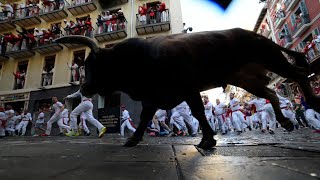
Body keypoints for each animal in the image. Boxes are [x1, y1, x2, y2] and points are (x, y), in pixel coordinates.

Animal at [55, 28, 320, 149]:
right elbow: (144, 119)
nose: (85, 86)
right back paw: (285, 122)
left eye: (93, 64)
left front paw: (207, 140)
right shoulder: (153, 98)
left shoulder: (188, 89)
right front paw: (133, 139)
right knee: (272, 92)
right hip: (247, 79)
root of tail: (252, 34)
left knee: (299, 75)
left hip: (272, 59)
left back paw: (312, 104)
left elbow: (199, 113)